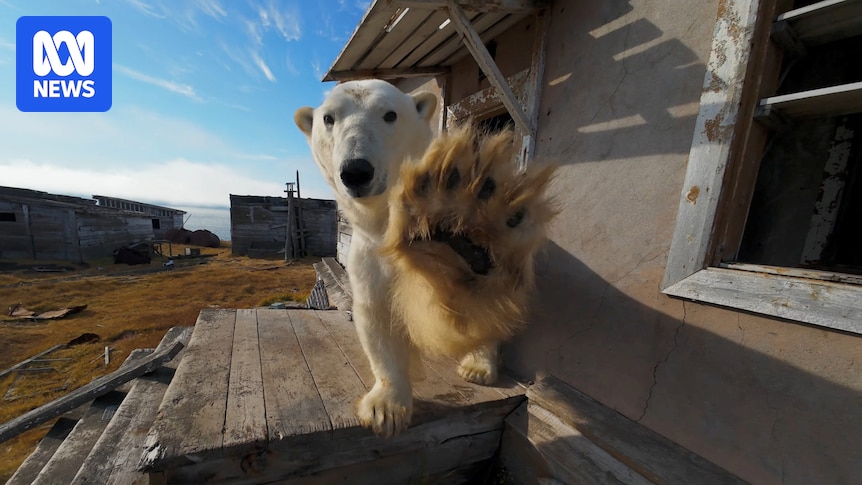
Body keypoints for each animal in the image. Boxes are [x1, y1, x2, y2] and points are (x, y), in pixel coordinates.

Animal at [294, 79, 555, 437]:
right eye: (329, 119)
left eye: (390, 114)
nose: (356, 171)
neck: (387, 225)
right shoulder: (369, 254)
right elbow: (377, 315)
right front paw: (385, 408)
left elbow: (453, 312)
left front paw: (453, 240)